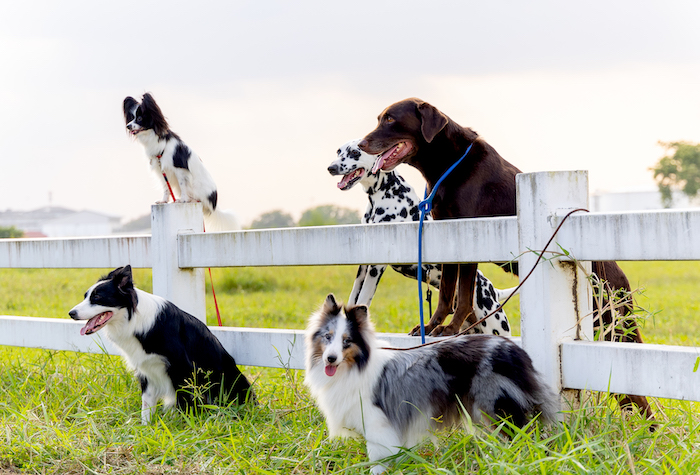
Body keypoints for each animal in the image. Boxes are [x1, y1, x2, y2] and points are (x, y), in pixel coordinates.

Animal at [326, 139, 516, 336]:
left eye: (355, 152)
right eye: (339, 151)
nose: (331, 168)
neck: (384, 193)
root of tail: (492, 290)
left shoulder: (376, 267)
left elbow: (364, 299)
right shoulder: (363, 266)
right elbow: (353, 298)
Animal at [358, 96, 652, 420]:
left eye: (390, 119)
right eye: (379, 118)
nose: (360, 144)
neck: (446, 163)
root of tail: (622, 281)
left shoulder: (468, 236)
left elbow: (462, 295)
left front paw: (453, 328)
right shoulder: (447, 236)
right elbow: (447, 293)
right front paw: (432, 327)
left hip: (614, 324)